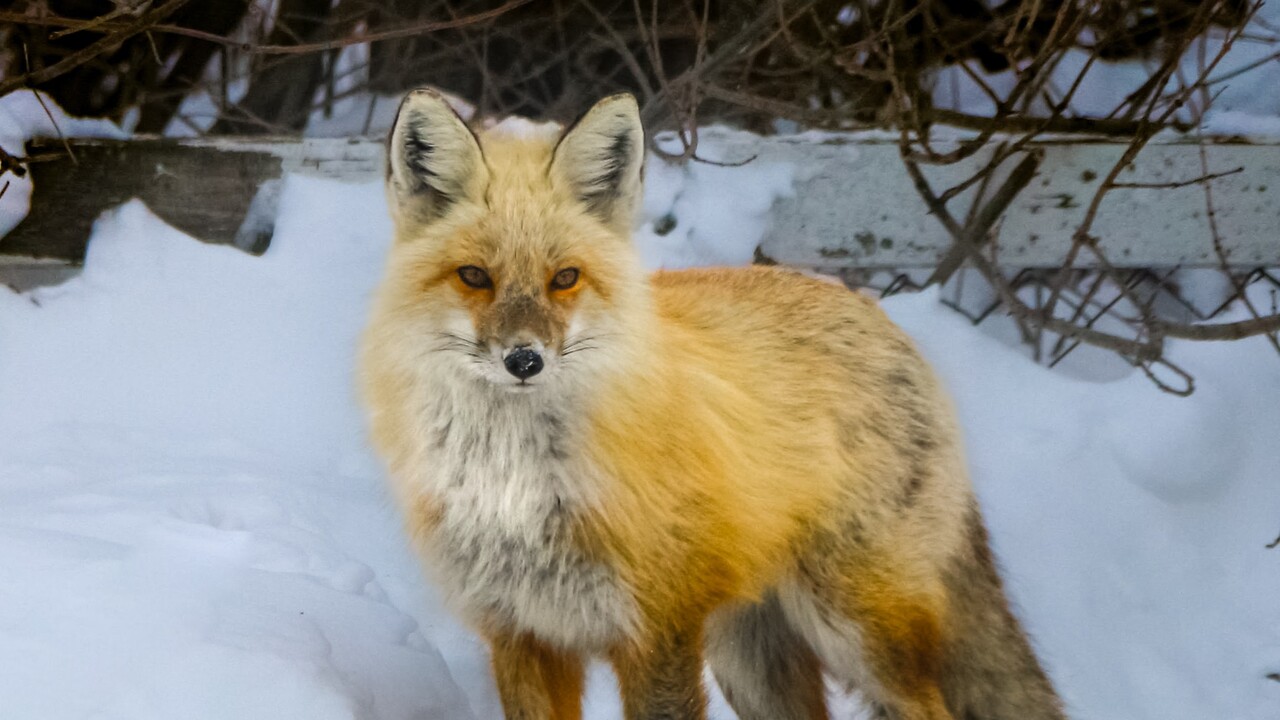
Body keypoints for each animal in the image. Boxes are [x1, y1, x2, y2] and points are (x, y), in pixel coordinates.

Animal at [359, 87, 1067, 720]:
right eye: (474, 277)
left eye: (564, 279)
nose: (525, 361)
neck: (514, 484)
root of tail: (880, 316)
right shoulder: (522, 633)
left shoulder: (656, 630)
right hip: (749, 658)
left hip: (855, 630)